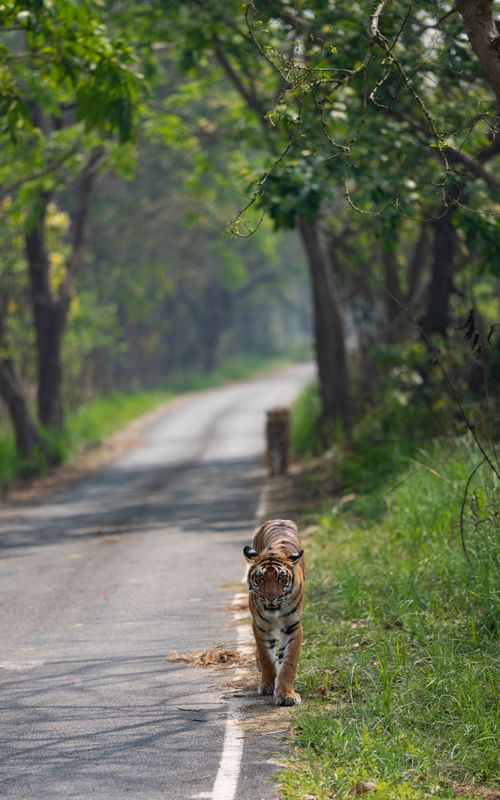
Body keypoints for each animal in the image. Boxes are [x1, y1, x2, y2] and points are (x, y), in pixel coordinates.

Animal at [243, 518, 305, 706]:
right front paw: (268, 685)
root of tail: (279, 520)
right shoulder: (260, 625)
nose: (271, 598)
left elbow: (289, 661)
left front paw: (286, 694)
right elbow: (266, 657)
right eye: (260, 578)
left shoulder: (293, 626)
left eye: (281, 578)